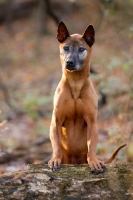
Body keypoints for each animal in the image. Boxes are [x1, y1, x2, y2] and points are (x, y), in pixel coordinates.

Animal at [48, 21, 127, 173]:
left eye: (81, 49)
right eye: (66, 48)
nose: (69, 62)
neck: (75, 82)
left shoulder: (92, 122)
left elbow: (92, 147)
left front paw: (94, 161)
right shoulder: (56, 121)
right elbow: (56, 145)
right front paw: (55, 159)